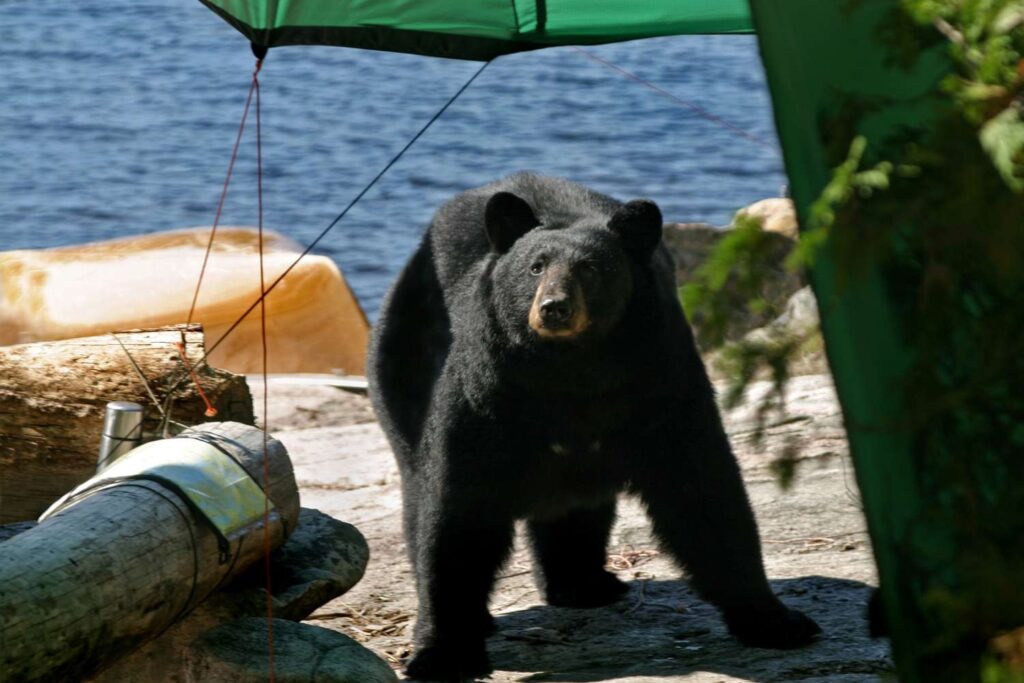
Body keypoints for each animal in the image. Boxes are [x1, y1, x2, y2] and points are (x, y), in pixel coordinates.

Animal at [364, 174, 819, 679]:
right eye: (535, 267)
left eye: (591, 268)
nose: (554, 308)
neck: (571, 368)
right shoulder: (487, 391)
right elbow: (459, 510)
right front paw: (441, 653)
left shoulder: (660, 380)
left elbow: (702, 492)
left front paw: (778, 621)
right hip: (409, 347)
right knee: (417, 485)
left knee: (578, 507)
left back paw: (584, 585)